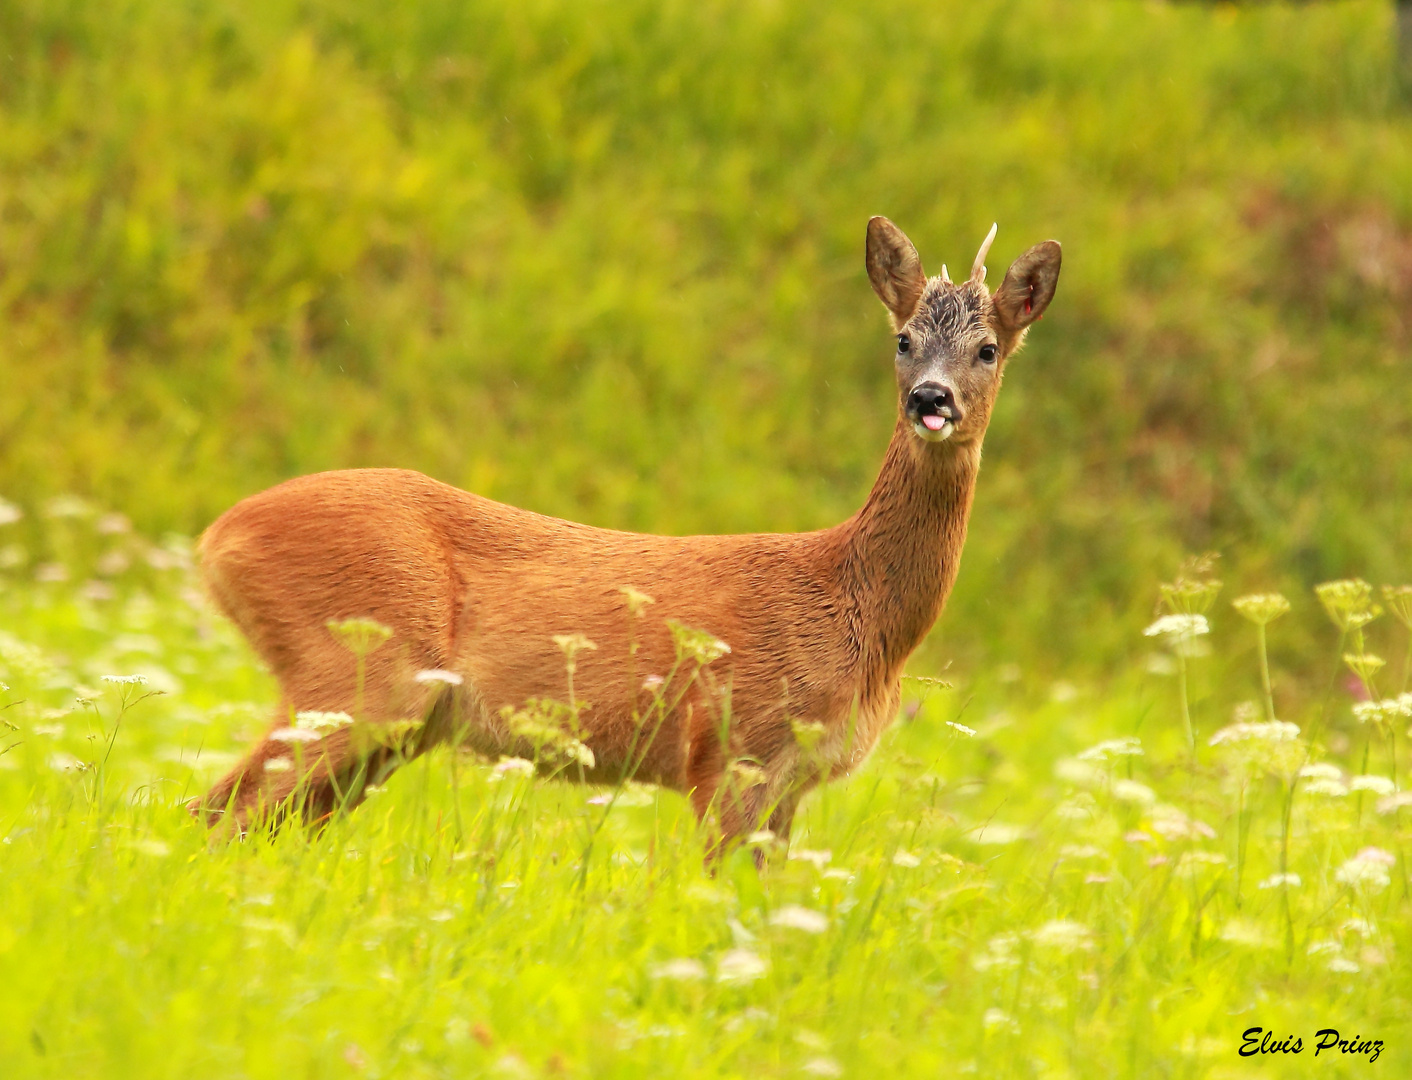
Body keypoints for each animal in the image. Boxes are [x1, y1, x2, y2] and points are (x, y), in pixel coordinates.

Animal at [193, 217, 1061, 858]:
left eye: (988, 349)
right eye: (903, 339)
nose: (930, 399)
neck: (855, 608)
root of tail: (215, 537)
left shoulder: (790, 787)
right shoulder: (731, 751)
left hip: (387, 728)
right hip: (357, 674)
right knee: (220, 812)